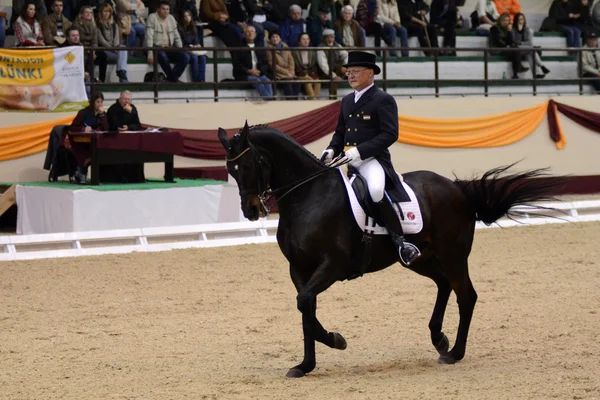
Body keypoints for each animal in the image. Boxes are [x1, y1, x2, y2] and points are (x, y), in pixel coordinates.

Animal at [218, 122, 560, 378]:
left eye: (249, 164)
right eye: (230, 169)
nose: (251, 210)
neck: (308, 196)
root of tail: (456, 187)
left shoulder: (332, 265)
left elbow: (305, 303)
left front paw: (335, 341)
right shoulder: (299, 269)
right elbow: (306, 307)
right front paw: (306, 364)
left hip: (453, 254)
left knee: (466, 295)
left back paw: (454, 353)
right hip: (420, 258)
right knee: (444, 284)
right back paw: (439, 339)